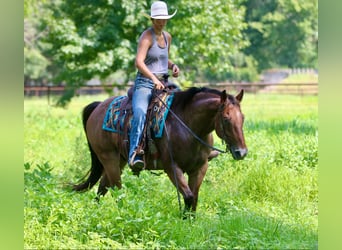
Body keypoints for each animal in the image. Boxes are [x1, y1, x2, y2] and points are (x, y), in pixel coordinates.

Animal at [73, 87, 248, 214]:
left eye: (243, 118)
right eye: (226, 118)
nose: (242, 152)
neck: (188, 125)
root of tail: (98, 106)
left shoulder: (200, 168)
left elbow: (195, 198)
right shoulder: (172, 167)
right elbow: (189, 197)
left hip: (119, 160)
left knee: (103, 186)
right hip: (108, 158)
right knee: (117, 189)